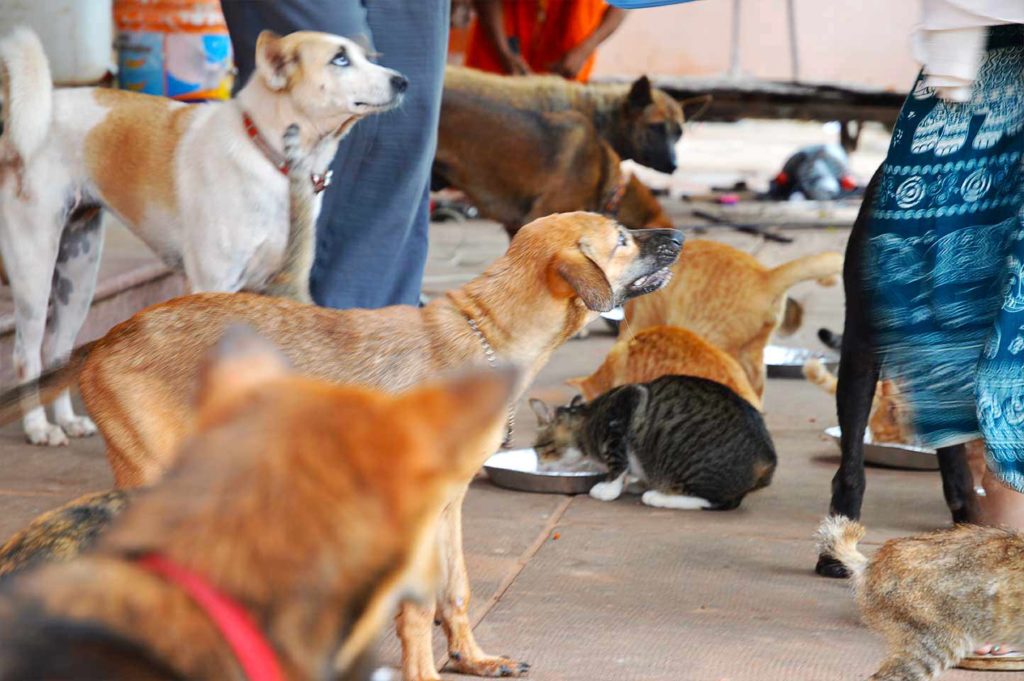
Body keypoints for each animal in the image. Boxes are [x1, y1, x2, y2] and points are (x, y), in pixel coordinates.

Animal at [0, 26, 407, 444]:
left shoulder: (274, 286)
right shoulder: (213, 284)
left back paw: (67, 420)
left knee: (57, 351)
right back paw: (38, 427)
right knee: (26, 355)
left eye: (366, 55)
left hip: (78, 276)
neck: (267, 154)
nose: (403, 81)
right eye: (340, 59)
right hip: (35, 269)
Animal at [532, 372, 778, 509]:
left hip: (696, 466)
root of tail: (768, 459)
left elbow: (617, 462)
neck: (587, 419)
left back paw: (658, 496)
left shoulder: (623, 408)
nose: (538, 466)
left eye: (538, 449)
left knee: (719, 502)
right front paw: (637, 482)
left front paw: (608, 489)